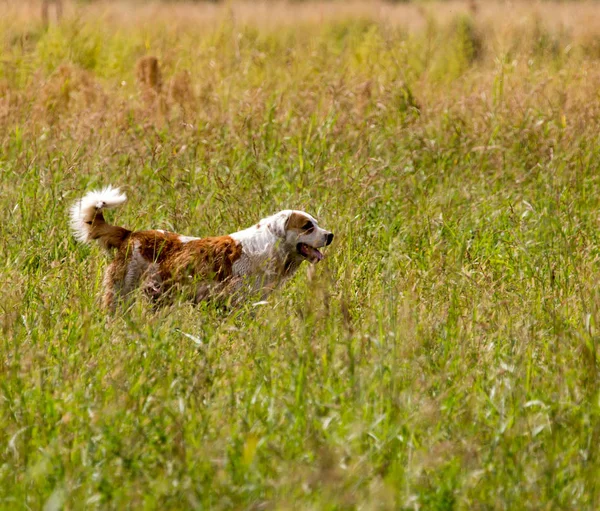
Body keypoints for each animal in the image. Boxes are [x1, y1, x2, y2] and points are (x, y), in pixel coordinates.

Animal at [71, 186, 332, 310]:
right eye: (308, 226)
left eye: (316, 224)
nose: (330, 235)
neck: (269, 247)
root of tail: (130, 234)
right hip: (122, 293)